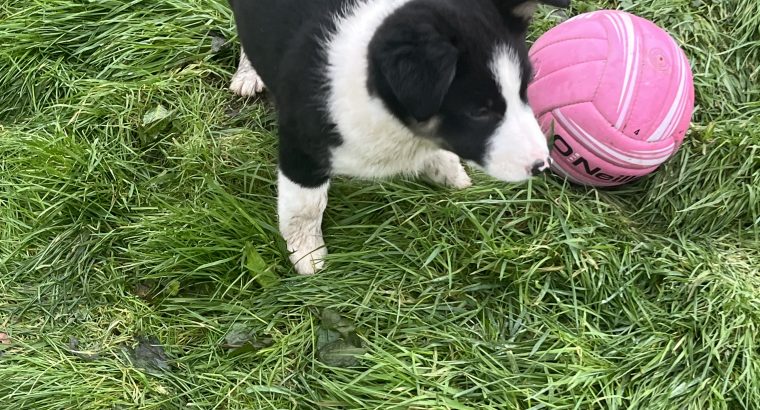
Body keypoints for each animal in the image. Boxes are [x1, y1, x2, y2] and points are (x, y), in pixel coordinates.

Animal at [227, 1, 568, 276]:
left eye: (525, 89)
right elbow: (305, 205)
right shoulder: (301, 148)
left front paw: (447, 170)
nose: (542, 165)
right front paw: (308, 255)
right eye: (479, 111)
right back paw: (248, 73)